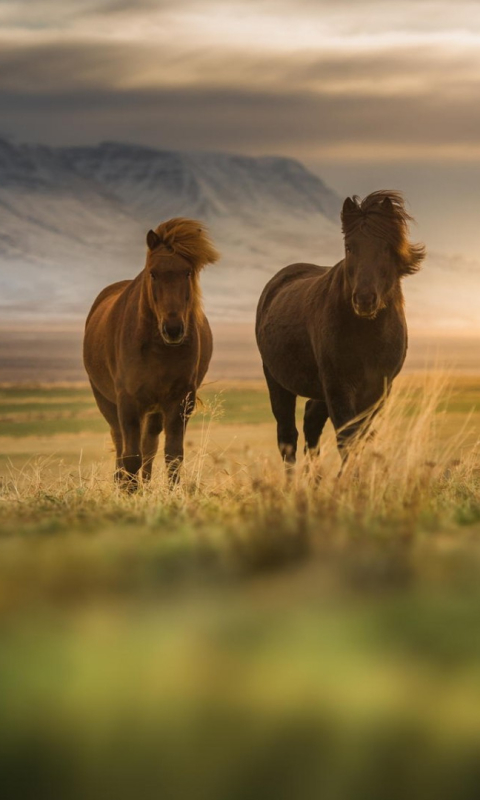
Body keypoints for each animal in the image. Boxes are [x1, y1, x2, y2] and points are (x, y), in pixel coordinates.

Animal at [83, 216, 219, 488]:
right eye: (153, 273)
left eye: (188, 272)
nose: (174, 329)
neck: (158, 349)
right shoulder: (127, 401)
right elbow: (130, 456)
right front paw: (129, 492)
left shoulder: (179, 401)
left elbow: (172, 456)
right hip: (107, 402)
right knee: (120, 444)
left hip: (154, 410)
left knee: (149, 446)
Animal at [256, 190, 426, 468]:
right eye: (349, 247)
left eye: (386, 247)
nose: (365, 300)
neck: (368, 334)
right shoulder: (339, 387)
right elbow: (347, 440)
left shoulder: (378, 391)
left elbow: (359, 439)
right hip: (278, 382)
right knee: (288, 437)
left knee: (311, 422)